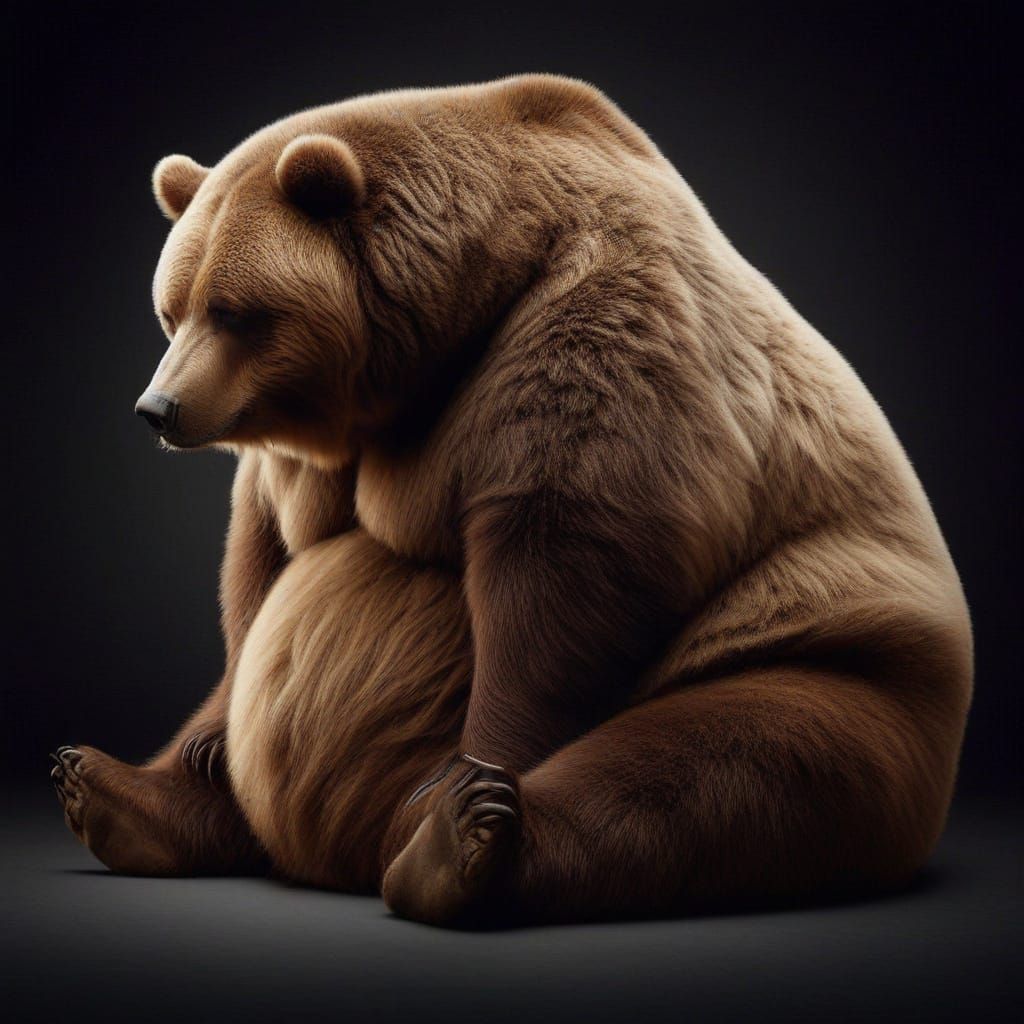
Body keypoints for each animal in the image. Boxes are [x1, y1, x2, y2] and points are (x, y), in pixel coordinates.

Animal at [51, 74, 972, 926]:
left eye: (235, 311)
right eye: (171, 310)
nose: (159, 408)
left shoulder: (590, 337)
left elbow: (566, 568)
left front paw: (466, 781)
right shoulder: (311, 455)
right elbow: (264, 565)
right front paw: (205, 749)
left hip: (829, 659)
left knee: (709, 770)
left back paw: (459, 840)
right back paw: (113, 790)